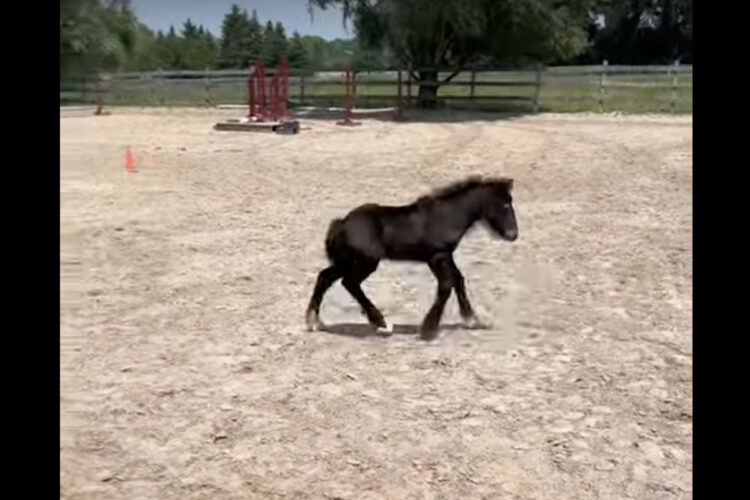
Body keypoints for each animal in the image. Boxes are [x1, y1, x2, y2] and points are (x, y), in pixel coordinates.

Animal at [305, 175, 518, 341]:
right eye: (505, 204)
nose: (513, 234)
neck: (447, 215)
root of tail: (341, 224)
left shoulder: (444, 256)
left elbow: (458, 280)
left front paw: (473, 320)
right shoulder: (437, 256)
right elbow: (446, 285)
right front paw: (428, 329)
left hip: (346, 261)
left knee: (325, 277)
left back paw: (314, 322)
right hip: (366, 261)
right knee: (349, 282)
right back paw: (381, 323)